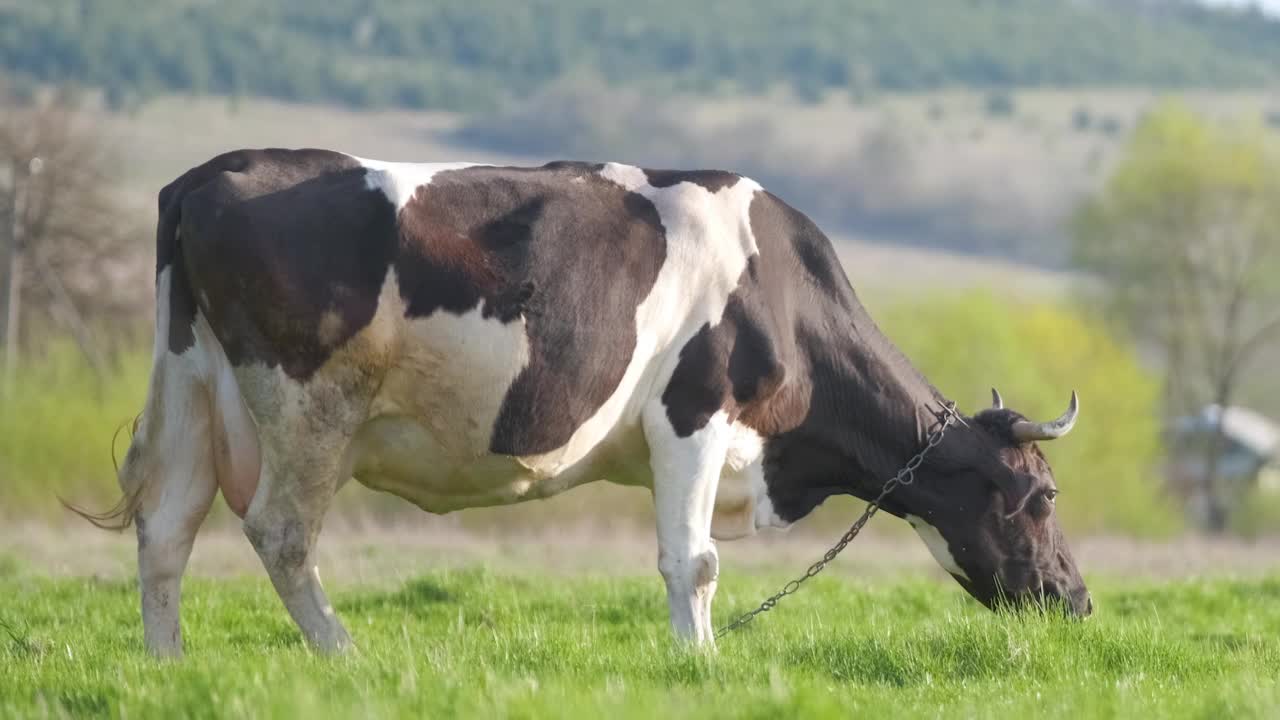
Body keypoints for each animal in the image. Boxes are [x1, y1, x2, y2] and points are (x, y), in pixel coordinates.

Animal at [72, 148, 1090, 653]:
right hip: (309, 403)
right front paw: (700, 662)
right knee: (280, 534)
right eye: (1043, 497)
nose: (1077, 601)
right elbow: (694, 563)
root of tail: (207, 174)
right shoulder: (692, 415)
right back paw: (345, 655)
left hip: (194, 388)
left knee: (167, 529)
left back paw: (168, 662)